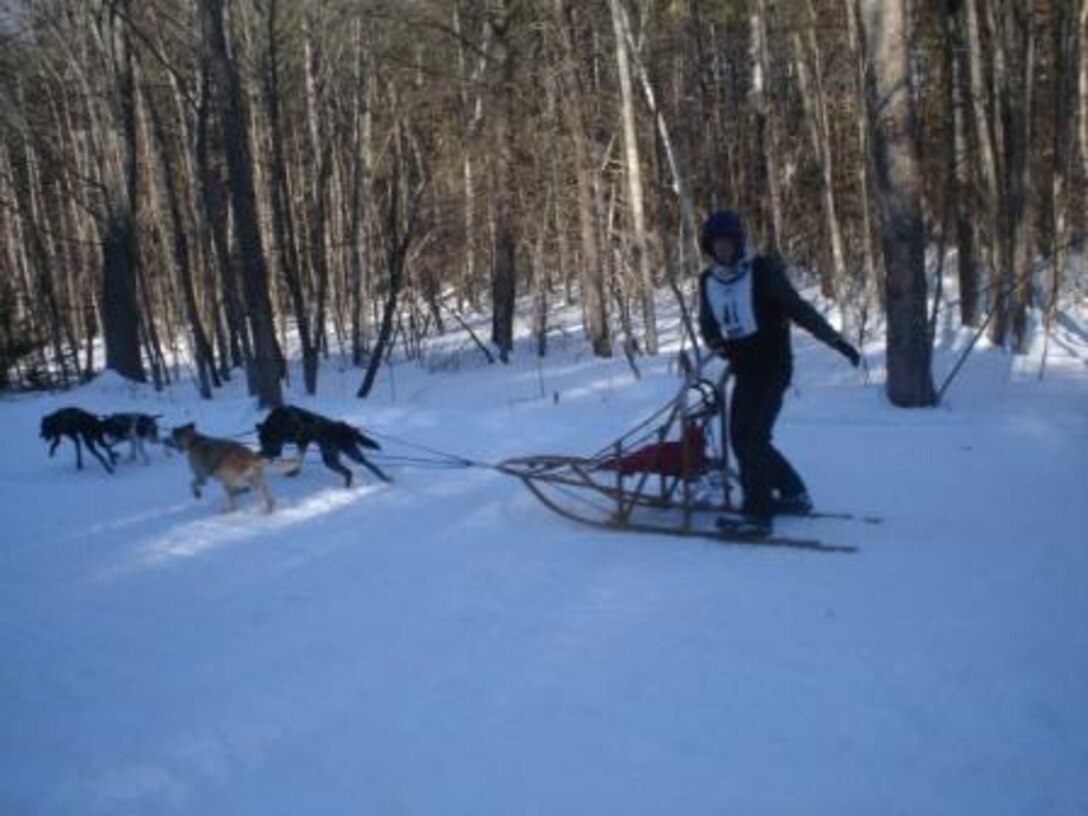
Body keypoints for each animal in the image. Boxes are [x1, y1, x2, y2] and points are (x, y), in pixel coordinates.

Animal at [172, 424, 302, 513]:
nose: (169, 442)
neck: (195, 441)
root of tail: (250, 456)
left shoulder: (201, 475)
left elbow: (193, 483)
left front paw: (197, 494)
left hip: (231, 478)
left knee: (237, 500)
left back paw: (230, 508)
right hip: (256, 480)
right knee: (267, 497)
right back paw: (269, 510)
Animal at [254, 406, 391, 489]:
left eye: (268, 441)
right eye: (262, 441)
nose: (271, 454)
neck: (280, 423)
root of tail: (347, 429)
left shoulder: (300, 441)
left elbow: (297, 457)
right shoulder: (302, 442)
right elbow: (298, 459)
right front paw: (294, 471)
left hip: (336, 457)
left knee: (357, 468)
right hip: (341, 455)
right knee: (358, 467)